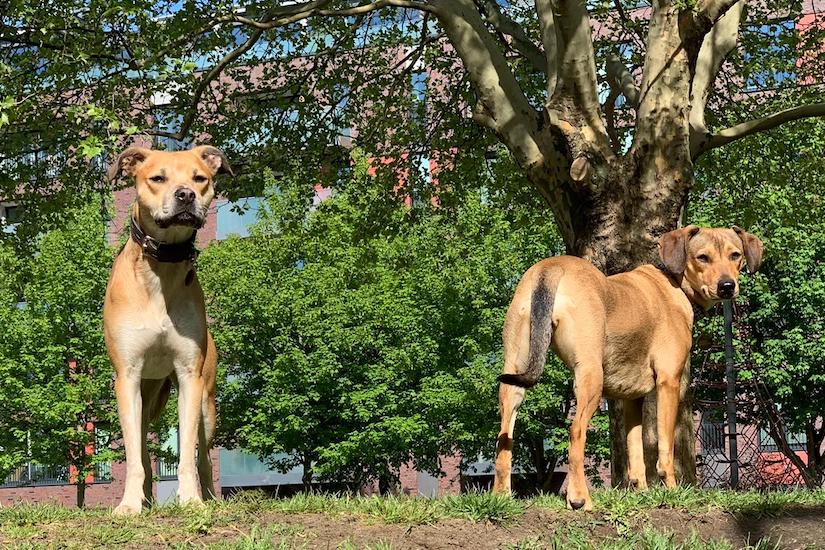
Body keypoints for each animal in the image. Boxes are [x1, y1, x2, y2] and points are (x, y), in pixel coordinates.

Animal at [105, 144, 232, 516]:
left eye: (199, 178)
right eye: (157, 178)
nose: (185, 195)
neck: (161, 270)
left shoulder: (190, 374)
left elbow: (188, 451)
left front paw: (190, 500)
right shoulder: (128, 376)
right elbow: (135, 456)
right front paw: (129, 505)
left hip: (206, 402)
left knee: (204, 455)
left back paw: (208, 497)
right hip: (146, 394)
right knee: (143, 445)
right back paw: (145, 498)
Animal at [492, 226, 764, 512]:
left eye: (735, 255)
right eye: (702, 257)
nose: (727, 286)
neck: (673, 281)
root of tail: (552, 267)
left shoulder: (633, 398)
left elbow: (635, 452)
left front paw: (641, 492)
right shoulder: (668, 382)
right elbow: (665, 449)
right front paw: (671, 490)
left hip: (513, 375)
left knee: (504, 437)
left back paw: (501, 496)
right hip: (591, 376)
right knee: (575, 431)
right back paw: (579, 497)